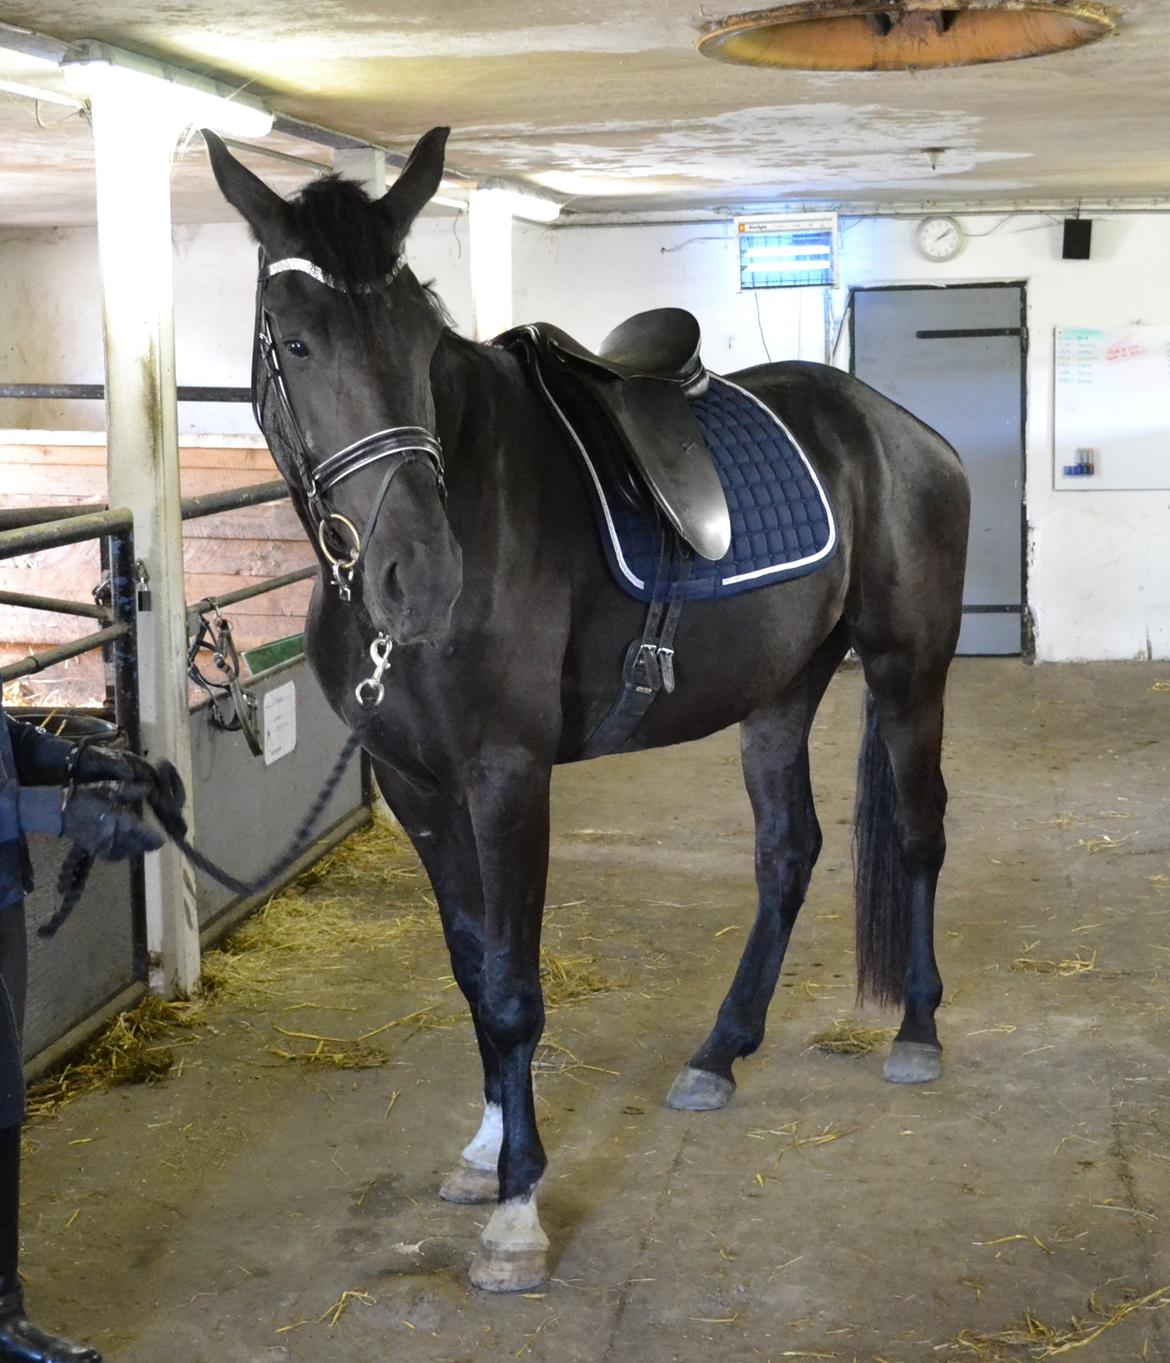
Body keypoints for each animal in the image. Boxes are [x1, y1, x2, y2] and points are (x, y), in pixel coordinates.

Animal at [203, 125, 965, 1286]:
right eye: (295, 339)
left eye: (420, 333)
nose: (419, 576)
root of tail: (899, 429)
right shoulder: (417, 788)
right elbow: (473, 969)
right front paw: (484, 1151)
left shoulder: (506, 777)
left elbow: (515, 986)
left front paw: (519, 1207)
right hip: (782, 693)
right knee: (788, 853)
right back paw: (718, 1051)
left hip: (908, 668)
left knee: (919, 832)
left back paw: (915, 1032)